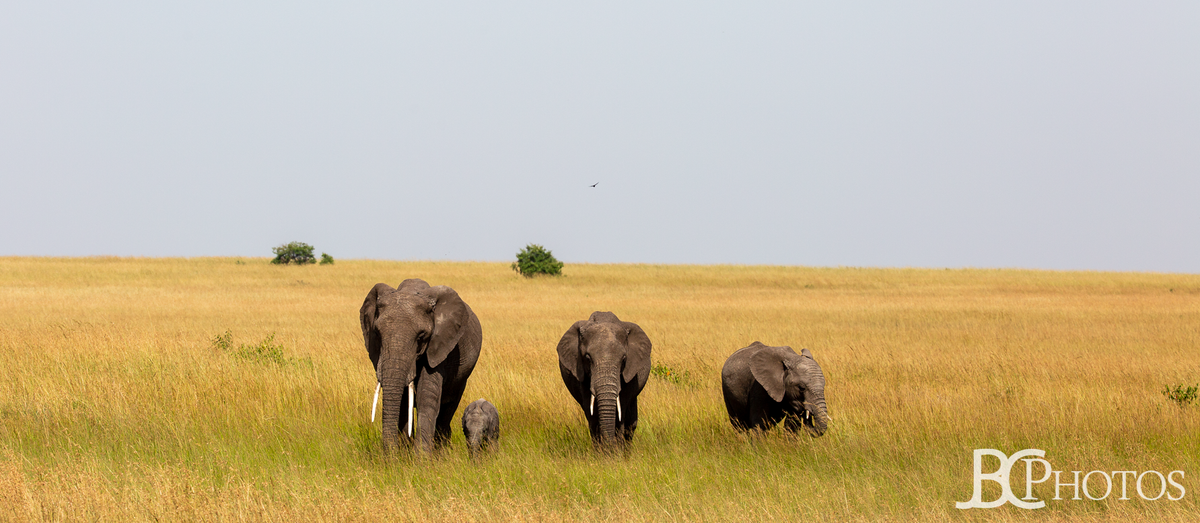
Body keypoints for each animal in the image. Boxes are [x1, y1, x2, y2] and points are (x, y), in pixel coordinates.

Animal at [361, 279, 482, 453]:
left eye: (421, 336)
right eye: (377, 333)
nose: (390, 455)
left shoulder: (439, 345)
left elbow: (426, 395)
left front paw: (421, 457)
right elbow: (403, 401)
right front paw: (404, 454)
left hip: (462, 378)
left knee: (447, 409)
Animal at [557, 311, 652, 447]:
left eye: (624, 359)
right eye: (588, 358)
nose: (610, 444)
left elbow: (621, 411)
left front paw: (615, 451)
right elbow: (592, 413)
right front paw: (602, 451)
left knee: (631, 423)